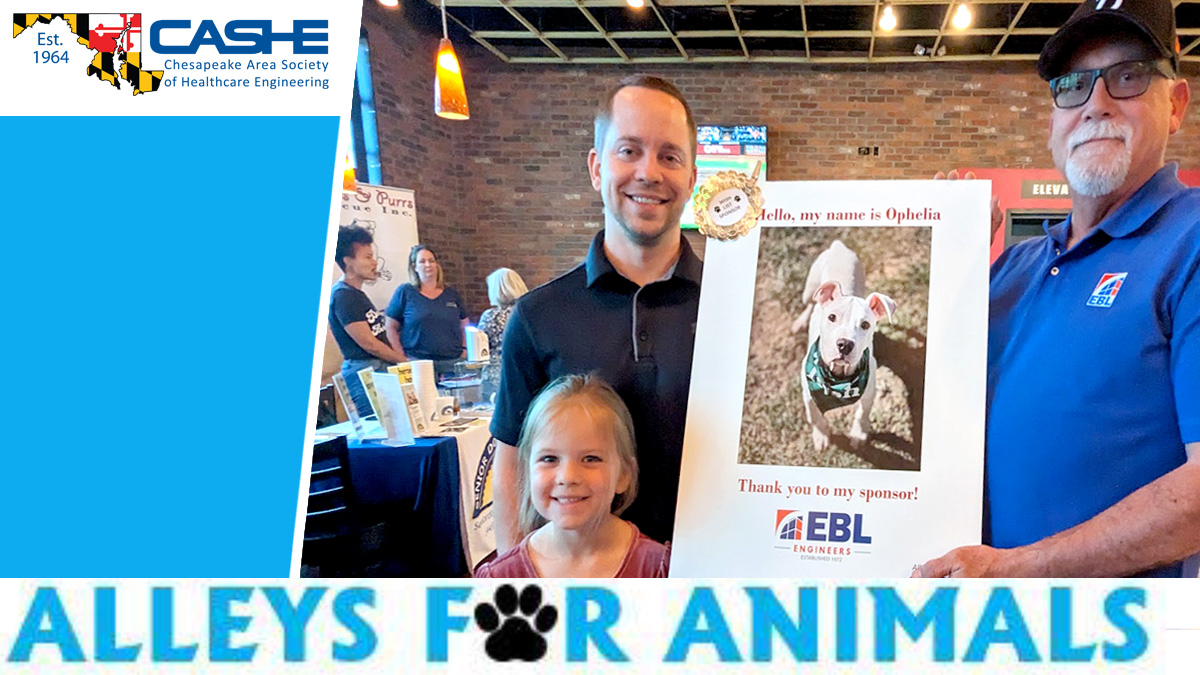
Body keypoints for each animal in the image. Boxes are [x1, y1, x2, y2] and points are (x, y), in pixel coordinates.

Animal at [792, 239, 897, 449]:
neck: (838, 377)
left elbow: (863, 412)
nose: (844, 345)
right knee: (810, 303)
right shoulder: (808, 392)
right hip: (810, 288)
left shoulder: (869, 389)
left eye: (865, 325)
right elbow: (814, 415)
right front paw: (821, 436)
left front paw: (858, 434)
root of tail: (838, 246)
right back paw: (800, 321)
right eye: (832, 317)